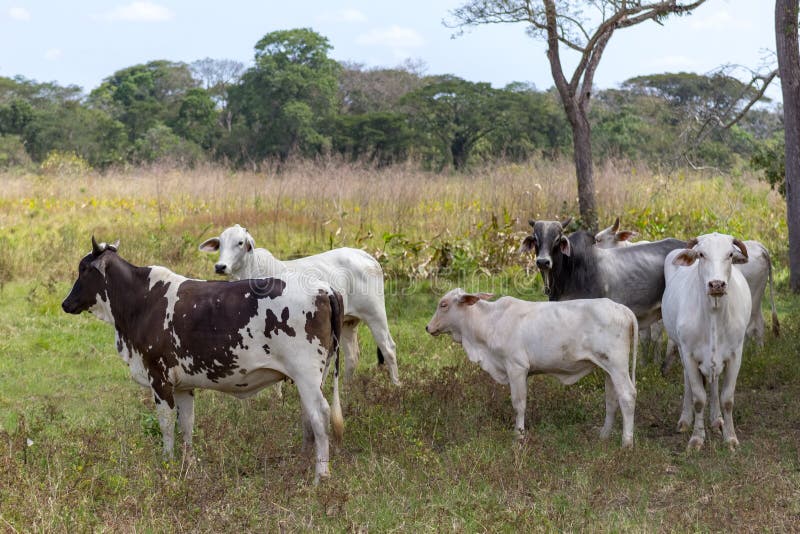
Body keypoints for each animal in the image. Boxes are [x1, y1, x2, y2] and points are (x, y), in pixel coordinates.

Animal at [64, 239, 346, 486]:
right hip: (316, 375)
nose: (66, 303)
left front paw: (167, 464)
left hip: (306, 373)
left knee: (320, 415)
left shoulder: (159, 377)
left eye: (83, 269)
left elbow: (166, 424)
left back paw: (320, 476)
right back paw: (303, 463)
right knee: (309, 417)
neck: (142, 301)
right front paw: (188, 466)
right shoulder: (183, 385)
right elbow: (186, 424)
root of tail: (324, 288)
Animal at [200, 224, 400, 388]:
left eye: (240, 242)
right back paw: (346, 389)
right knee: (352, 356)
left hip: (375, 314)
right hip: (348, 322)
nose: (220, 266)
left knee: (388, 348)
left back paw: (396, 386)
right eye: (220, 243)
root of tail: (365, 255)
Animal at [424, 288, 636, 448]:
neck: (490, 323)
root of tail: (621, 308)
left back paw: (626, 443)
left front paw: (518, 437)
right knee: (611, 400)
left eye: (443, 304)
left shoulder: (516, 367)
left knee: (627, 396)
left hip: (617, 365)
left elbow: (519, 404)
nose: (428, 327)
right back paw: (604, 435)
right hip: (608, 369)